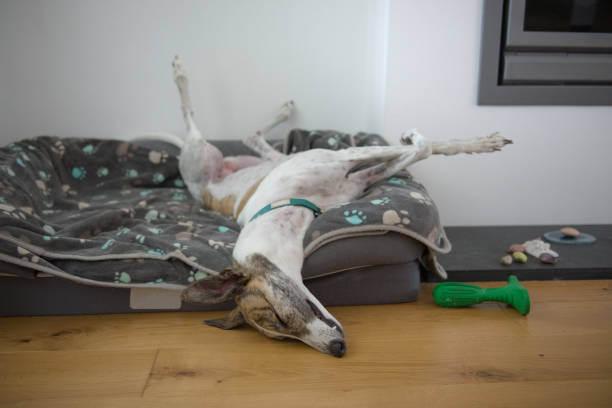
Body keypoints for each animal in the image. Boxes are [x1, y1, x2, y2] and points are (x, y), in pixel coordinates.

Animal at [165, 56, 510, 356]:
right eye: (282, 335)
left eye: (279, 316)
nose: (337, 349)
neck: (281, 205)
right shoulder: (354, 176)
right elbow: (419, 150)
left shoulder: (343, 161)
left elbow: (426, 147)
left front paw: (479, 143)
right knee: (247, 136)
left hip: (210, 155)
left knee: (211, 123)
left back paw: (182, 73)